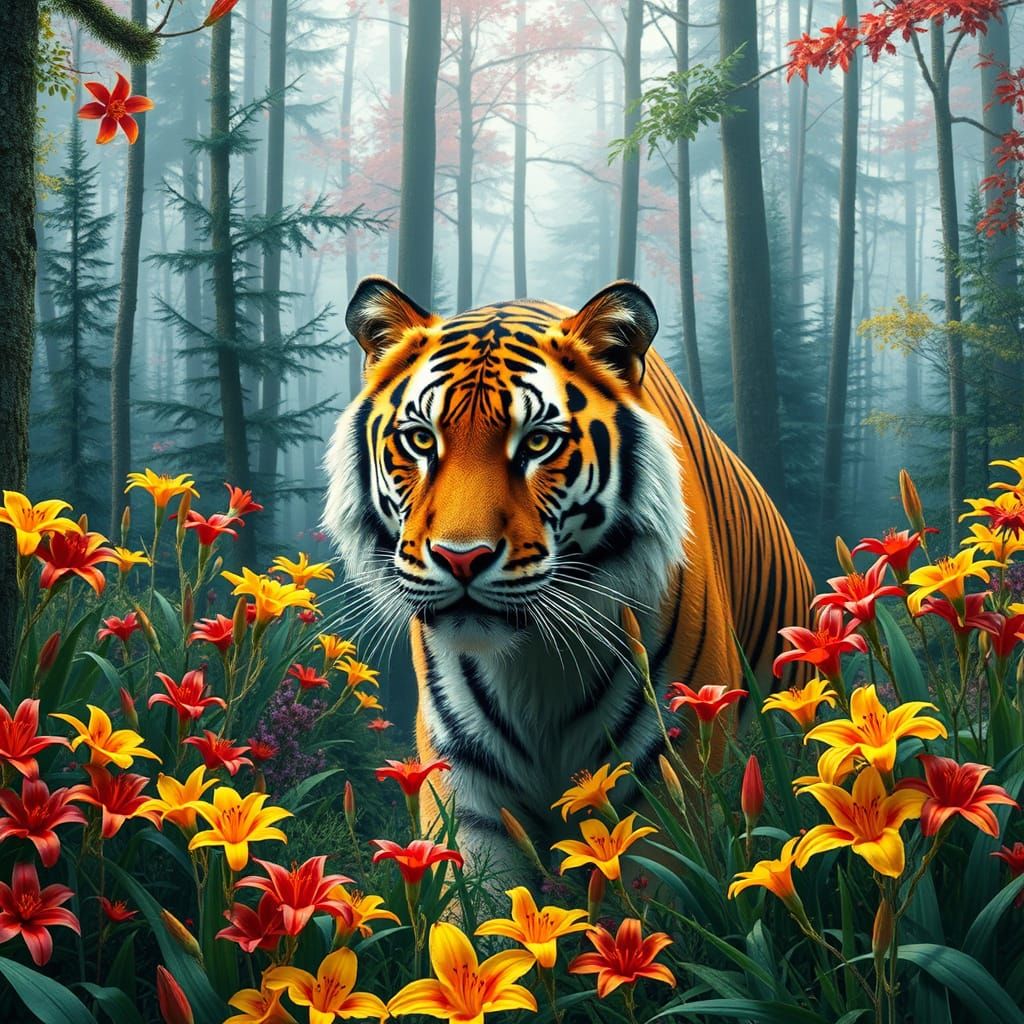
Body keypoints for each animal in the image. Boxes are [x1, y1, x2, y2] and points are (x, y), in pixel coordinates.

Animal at [324, 276, 814, 873]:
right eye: (421, 440)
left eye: (537, 442)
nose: (461, 558)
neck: (533, 664)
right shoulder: (468, 788)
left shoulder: (672, 769)